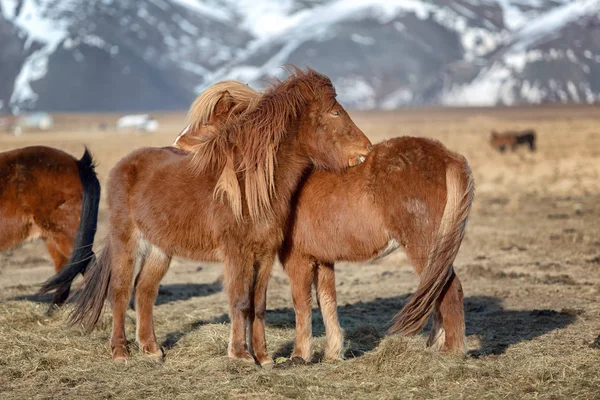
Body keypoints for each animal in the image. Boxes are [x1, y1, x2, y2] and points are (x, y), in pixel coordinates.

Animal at [44, 67, 372, 364]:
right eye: (335, 113)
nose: (366, 150)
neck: (250, 185)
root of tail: (124, 165)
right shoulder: (237, 253)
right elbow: (240, 301)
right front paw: (241, 355)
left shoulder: (264, 254)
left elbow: (258, 304)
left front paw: (264, 358)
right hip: (128, 242)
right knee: (122, 291)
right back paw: (120, 352)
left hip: (160, 249)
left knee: (145, 291)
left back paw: (152, 350)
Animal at [170, 83, 474, 360]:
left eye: (207, 122)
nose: (175, 146)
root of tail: (449, 158)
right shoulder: (323, 259)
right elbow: (327, 302)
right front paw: (332, 353)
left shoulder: (298, 259)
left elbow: (302, 303)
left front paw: (299, 356)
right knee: (436, 289)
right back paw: (435, 346)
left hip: (424, 248)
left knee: (448, 290)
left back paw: (451, 352)